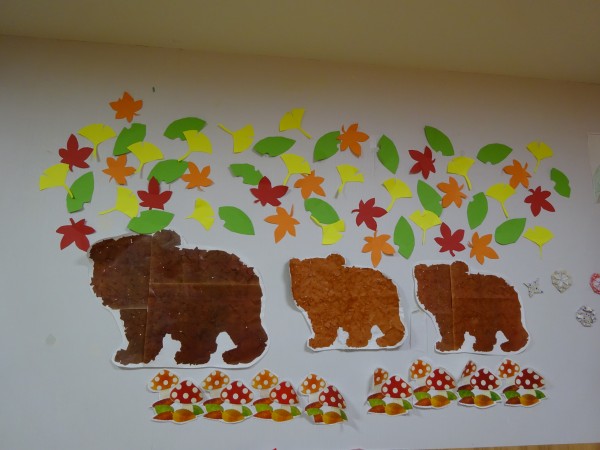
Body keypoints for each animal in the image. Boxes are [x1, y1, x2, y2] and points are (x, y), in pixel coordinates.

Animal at [89, 229, 268, 366]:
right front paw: (130, 356)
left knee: (250, 334)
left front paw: (190, 358)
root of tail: (248, 269)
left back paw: (235, 356)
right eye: (107, 270)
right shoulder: (138, 318)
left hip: (236, 312)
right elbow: (137, 338)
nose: (110, 295)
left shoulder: (192, 316)